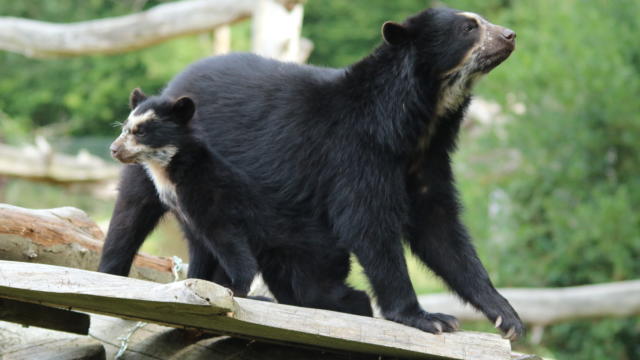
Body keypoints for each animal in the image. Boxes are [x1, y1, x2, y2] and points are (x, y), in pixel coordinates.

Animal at [99, 7, 520, 338]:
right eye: (469, 27)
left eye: (480, 21)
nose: (510, 35)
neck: (418, 119)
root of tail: (176, 81)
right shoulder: (356, 153)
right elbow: (367, 224)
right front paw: (424, 317)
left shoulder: (426, 158)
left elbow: (439, 227)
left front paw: (506, 317)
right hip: (164, 168)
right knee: (131, 215)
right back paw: (114, 272)